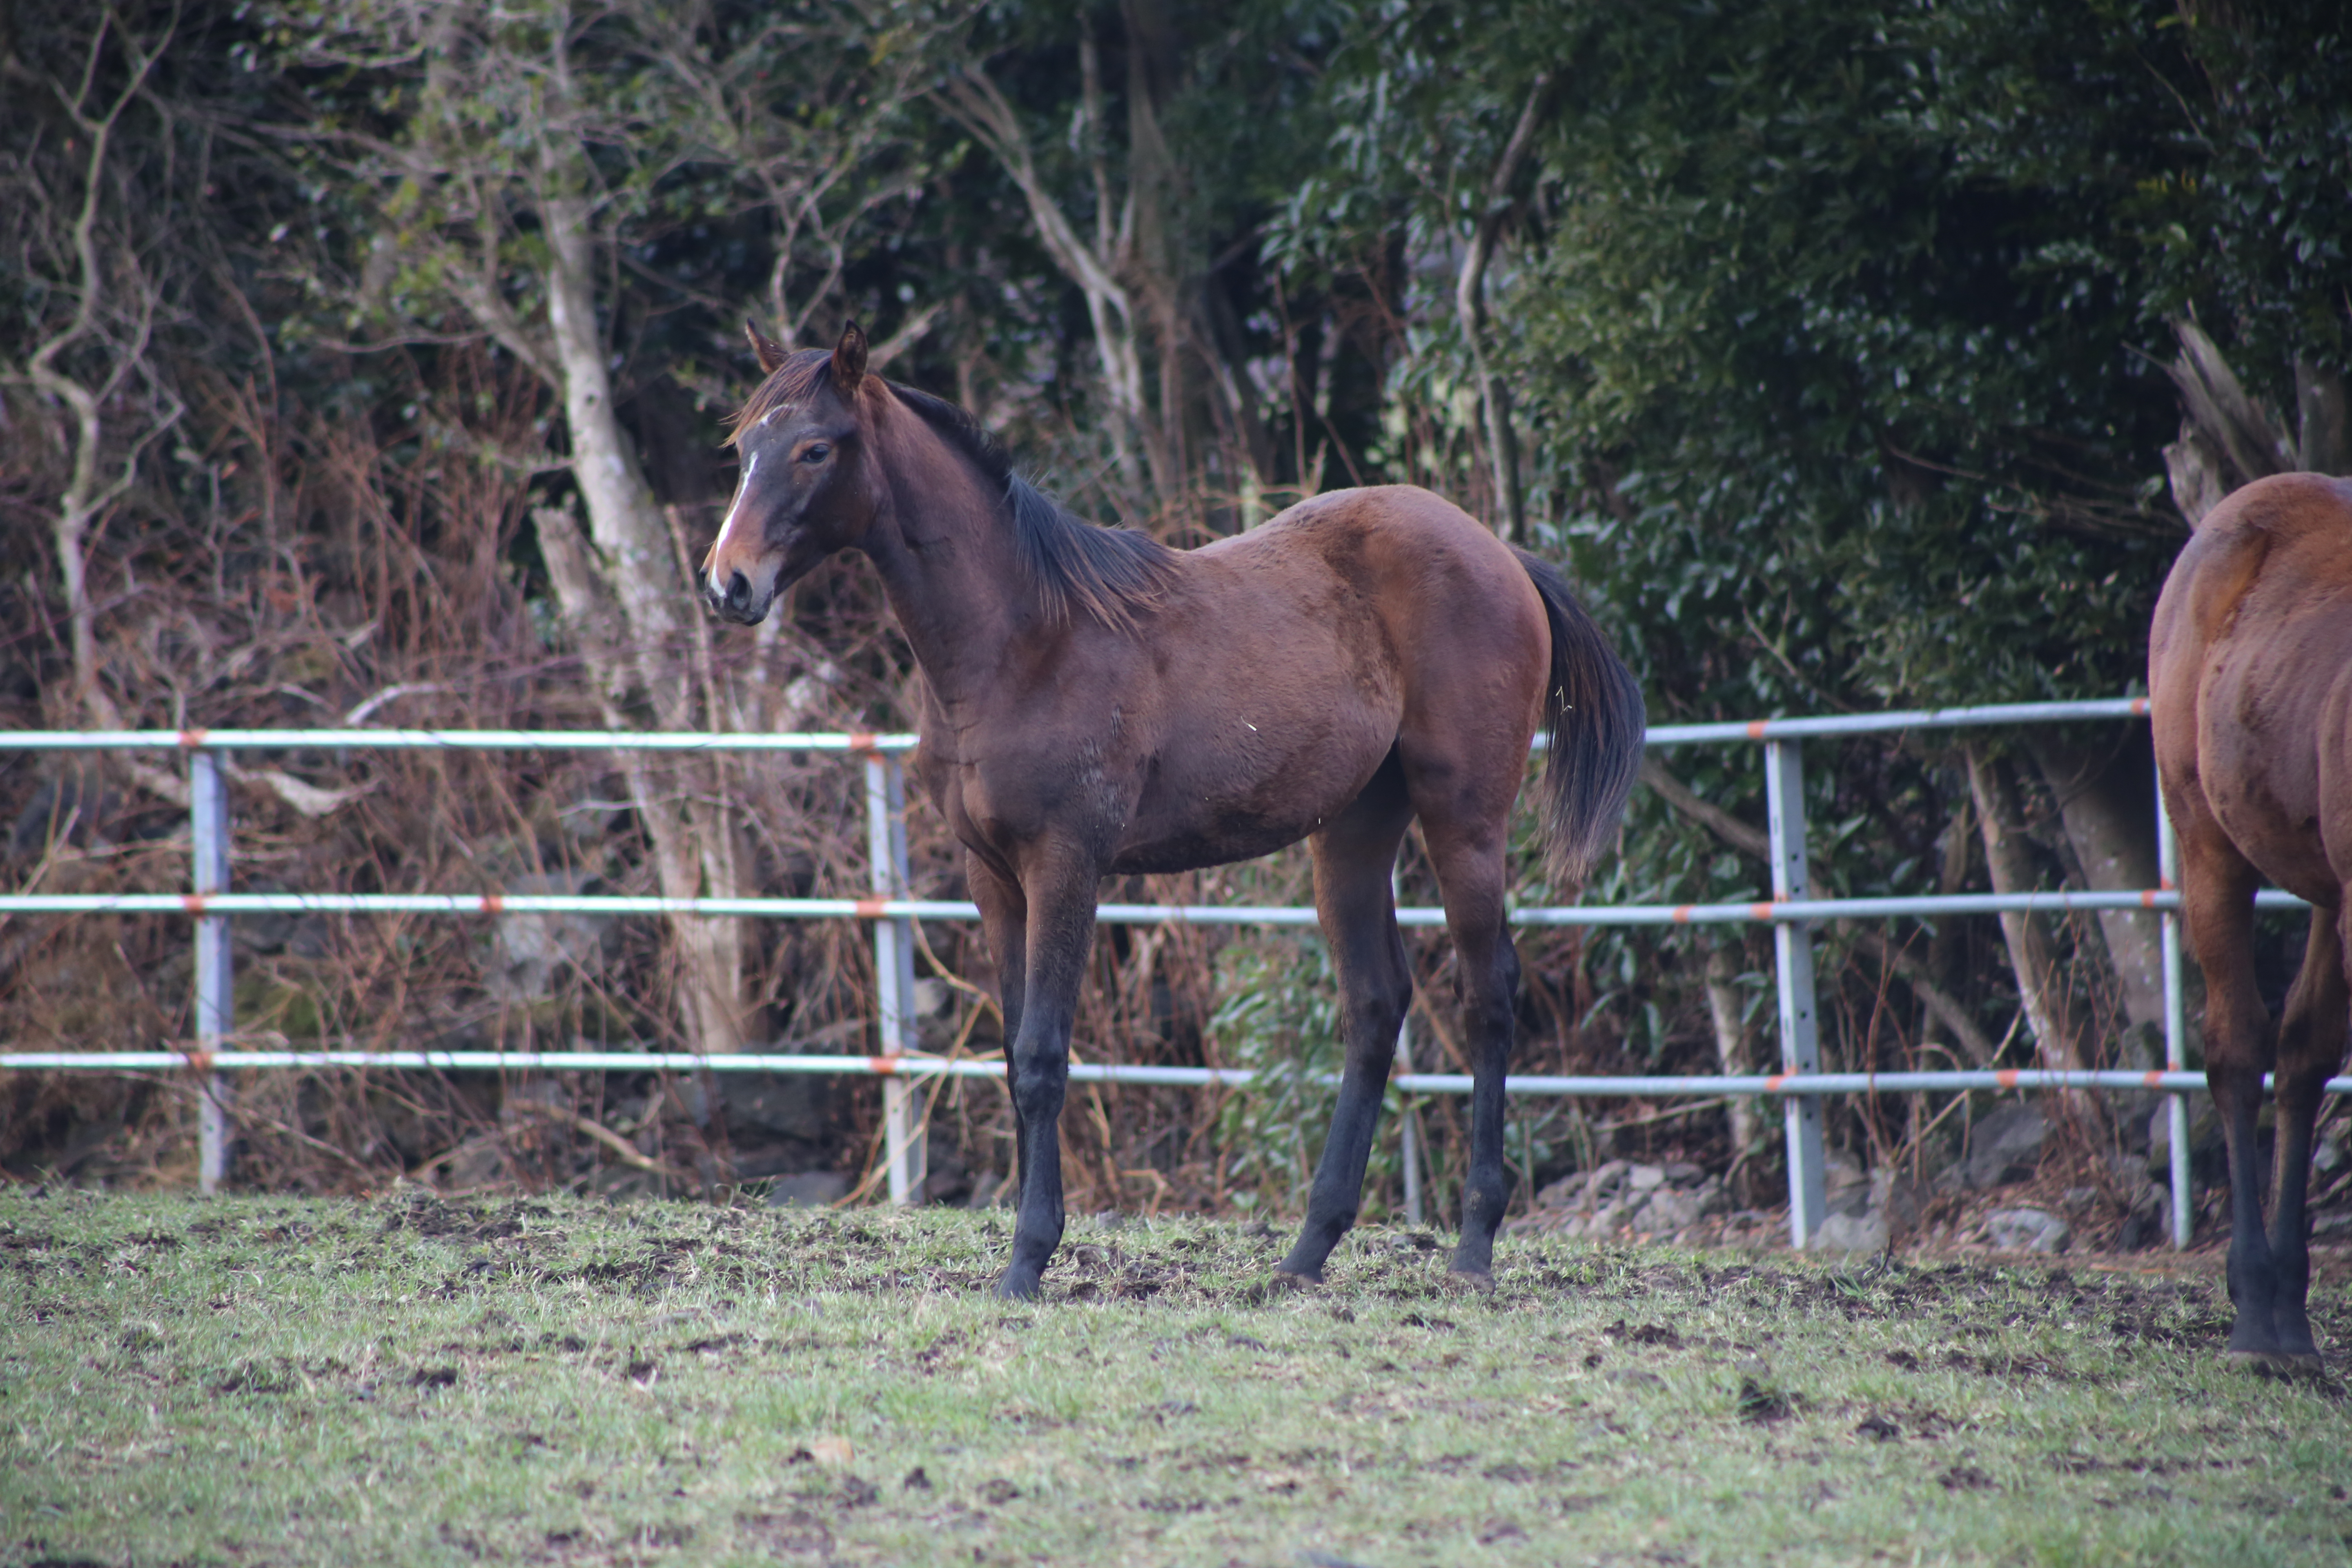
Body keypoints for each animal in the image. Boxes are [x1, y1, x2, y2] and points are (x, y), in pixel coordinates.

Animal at [706, 322, 1646, 1297]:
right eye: (743, 450)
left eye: (816, 450)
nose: (728, 583)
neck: (1022, 641)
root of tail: (1502, 556)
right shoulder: (991, 875)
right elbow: (1011, 1053)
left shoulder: (1065, 864)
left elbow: (1042, 1057)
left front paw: (1028, 1259)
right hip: (1352, 832)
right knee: (1375, 1003)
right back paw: (1305, 1254)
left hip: (1465, 822)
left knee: (1487, 995)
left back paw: (1472, 1248)